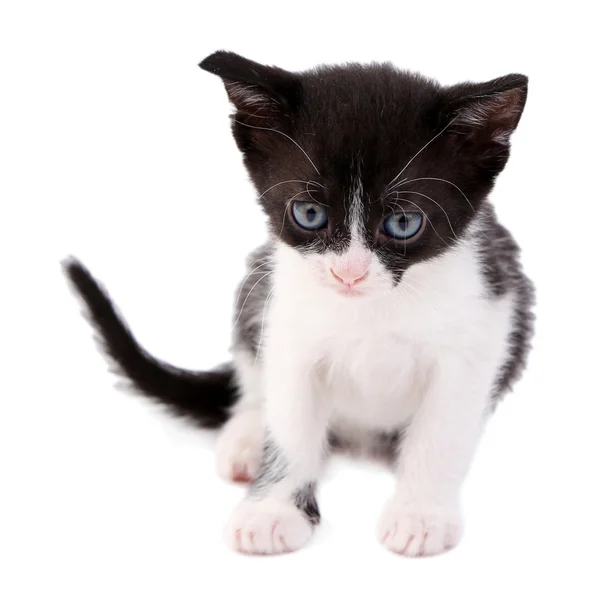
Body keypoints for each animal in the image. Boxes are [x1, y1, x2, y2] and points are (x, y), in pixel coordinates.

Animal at [64, 51, 536, 556]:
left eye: (404, 222)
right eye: (309, 214)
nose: (348, 273)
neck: (371, 308)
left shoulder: (486, 322)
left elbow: (441, 433)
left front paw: (420, 514)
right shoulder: (288, 325)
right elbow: (290, 424)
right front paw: (272, 511)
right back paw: (247, 440)